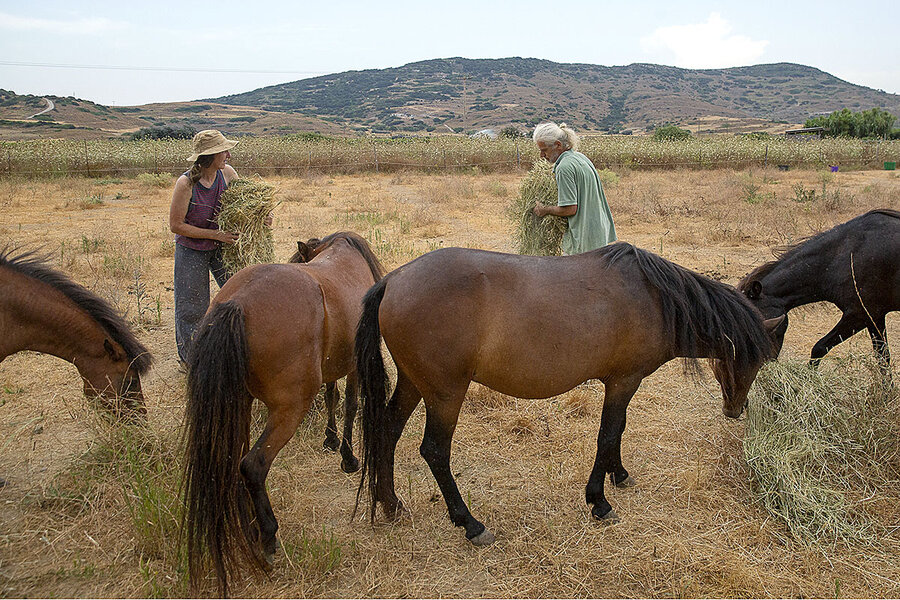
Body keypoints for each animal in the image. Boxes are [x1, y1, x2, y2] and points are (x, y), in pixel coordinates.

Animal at [183, 230, 384, 596]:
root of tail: (235, 304)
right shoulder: (353, 366)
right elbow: (349, 404)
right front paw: (349, 457)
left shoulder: (335, 365)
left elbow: (333, 398)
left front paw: (331, 441)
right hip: (289, 410)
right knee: (252, 465)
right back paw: (267, 536)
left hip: (240, 408)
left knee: (233, 464)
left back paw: (248, 527)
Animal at [354, 241, 780, 548]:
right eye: (750, 360)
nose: (735, 409)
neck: (655, 299)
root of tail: (393, 280)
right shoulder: (624, 381)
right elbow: (608, 434)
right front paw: (599, 501)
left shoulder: (621, 383)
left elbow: (618, 431)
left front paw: (618, 474)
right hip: (445, 394)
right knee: (435, 452)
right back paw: (471, 524)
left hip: (413, 383)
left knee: (387, 432)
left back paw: (390, 504)